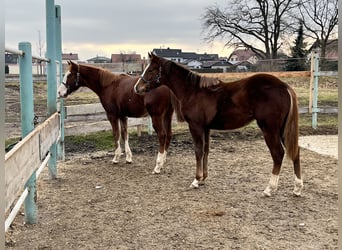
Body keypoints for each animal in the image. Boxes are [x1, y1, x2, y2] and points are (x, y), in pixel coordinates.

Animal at [135, 53, 304, 197]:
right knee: (295, 151)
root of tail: (284, 86)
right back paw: (297, 188)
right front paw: (203, 179)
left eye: (150, 69)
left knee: (278, 154)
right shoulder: (206, 128)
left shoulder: (196, 127)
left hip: (270, 129)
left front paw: (196, 180)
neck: (193, 91)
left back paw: (270, 188)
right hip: (282, 130)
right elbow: (205, 151)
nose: (137, 88)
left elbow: (198, 151)